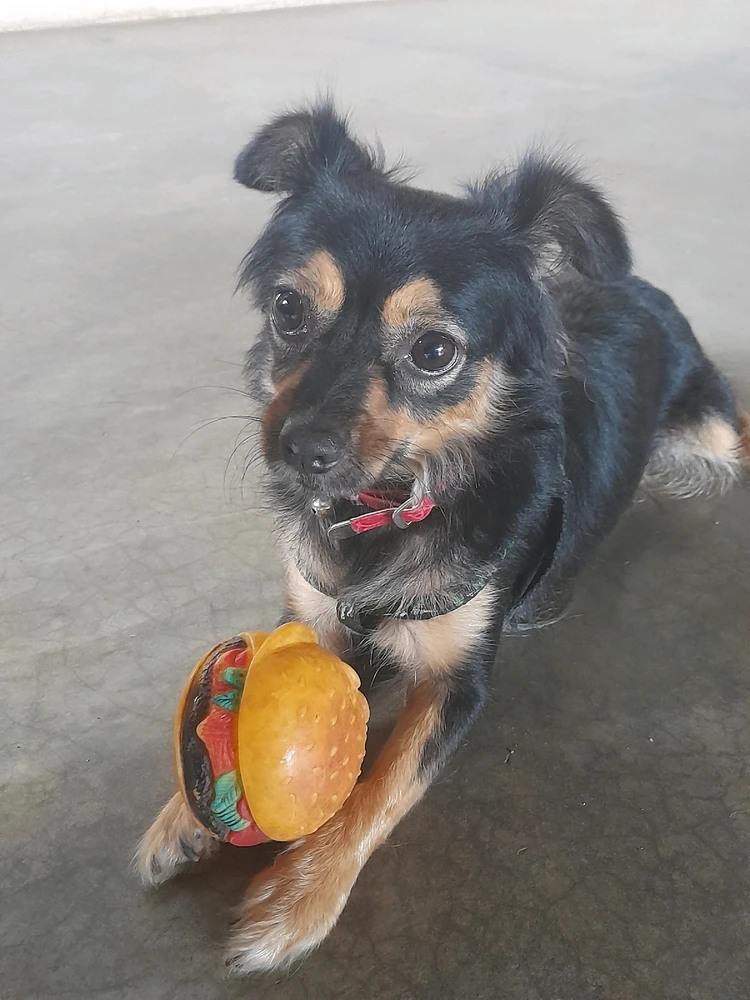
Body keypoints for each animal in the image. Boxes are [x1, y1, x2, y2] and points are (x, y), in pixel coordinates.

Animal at [136, 102, 749, 973]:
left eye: (433, 351)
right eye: (288, 308)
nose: (299, 446)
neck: (385, 508)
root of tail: (636, 284)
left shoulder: (462, 682)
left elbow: (384, 785)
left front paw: (297, 902)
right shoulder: (312, 612)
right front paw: (185, 814)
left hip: (714, 430)